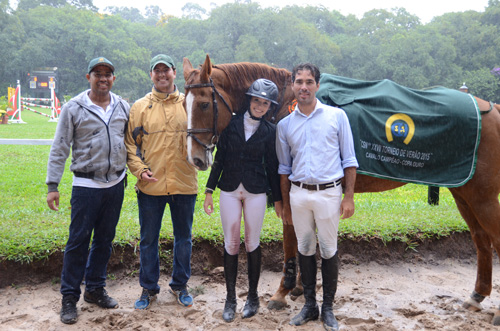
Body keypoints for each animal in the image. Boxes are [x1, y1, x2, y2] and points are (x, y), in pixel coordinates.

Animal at [182, 55, 500, 326]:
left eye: (204, 105)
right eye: (184, 105)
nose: (195, 159)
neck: (287, 103)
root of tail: (491, 108)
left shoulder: (288, 193)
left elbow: (290, 239)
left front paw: (283, 291)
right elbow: (304, 242)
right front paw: (300, 287)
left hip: (482, 196)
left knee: (492, 237)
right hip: (463, 192)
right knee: (481, 240)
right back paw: (476, 297)